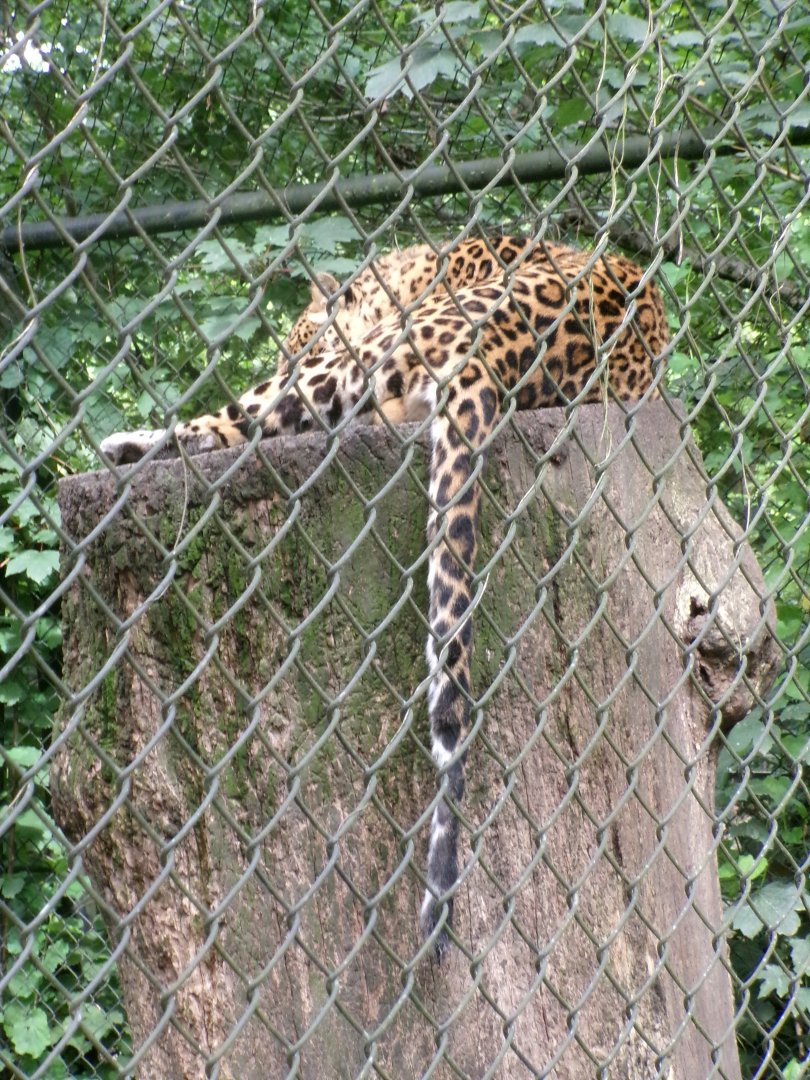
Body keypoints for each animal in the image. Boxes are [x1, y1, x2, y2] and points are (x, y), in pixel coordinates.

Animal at [100, 234, 670, 960]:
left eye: (297, 339)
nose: (288, 357)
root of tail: (499, 354)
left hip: (347, 367)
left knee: (236, 424)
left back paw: (125, 445)